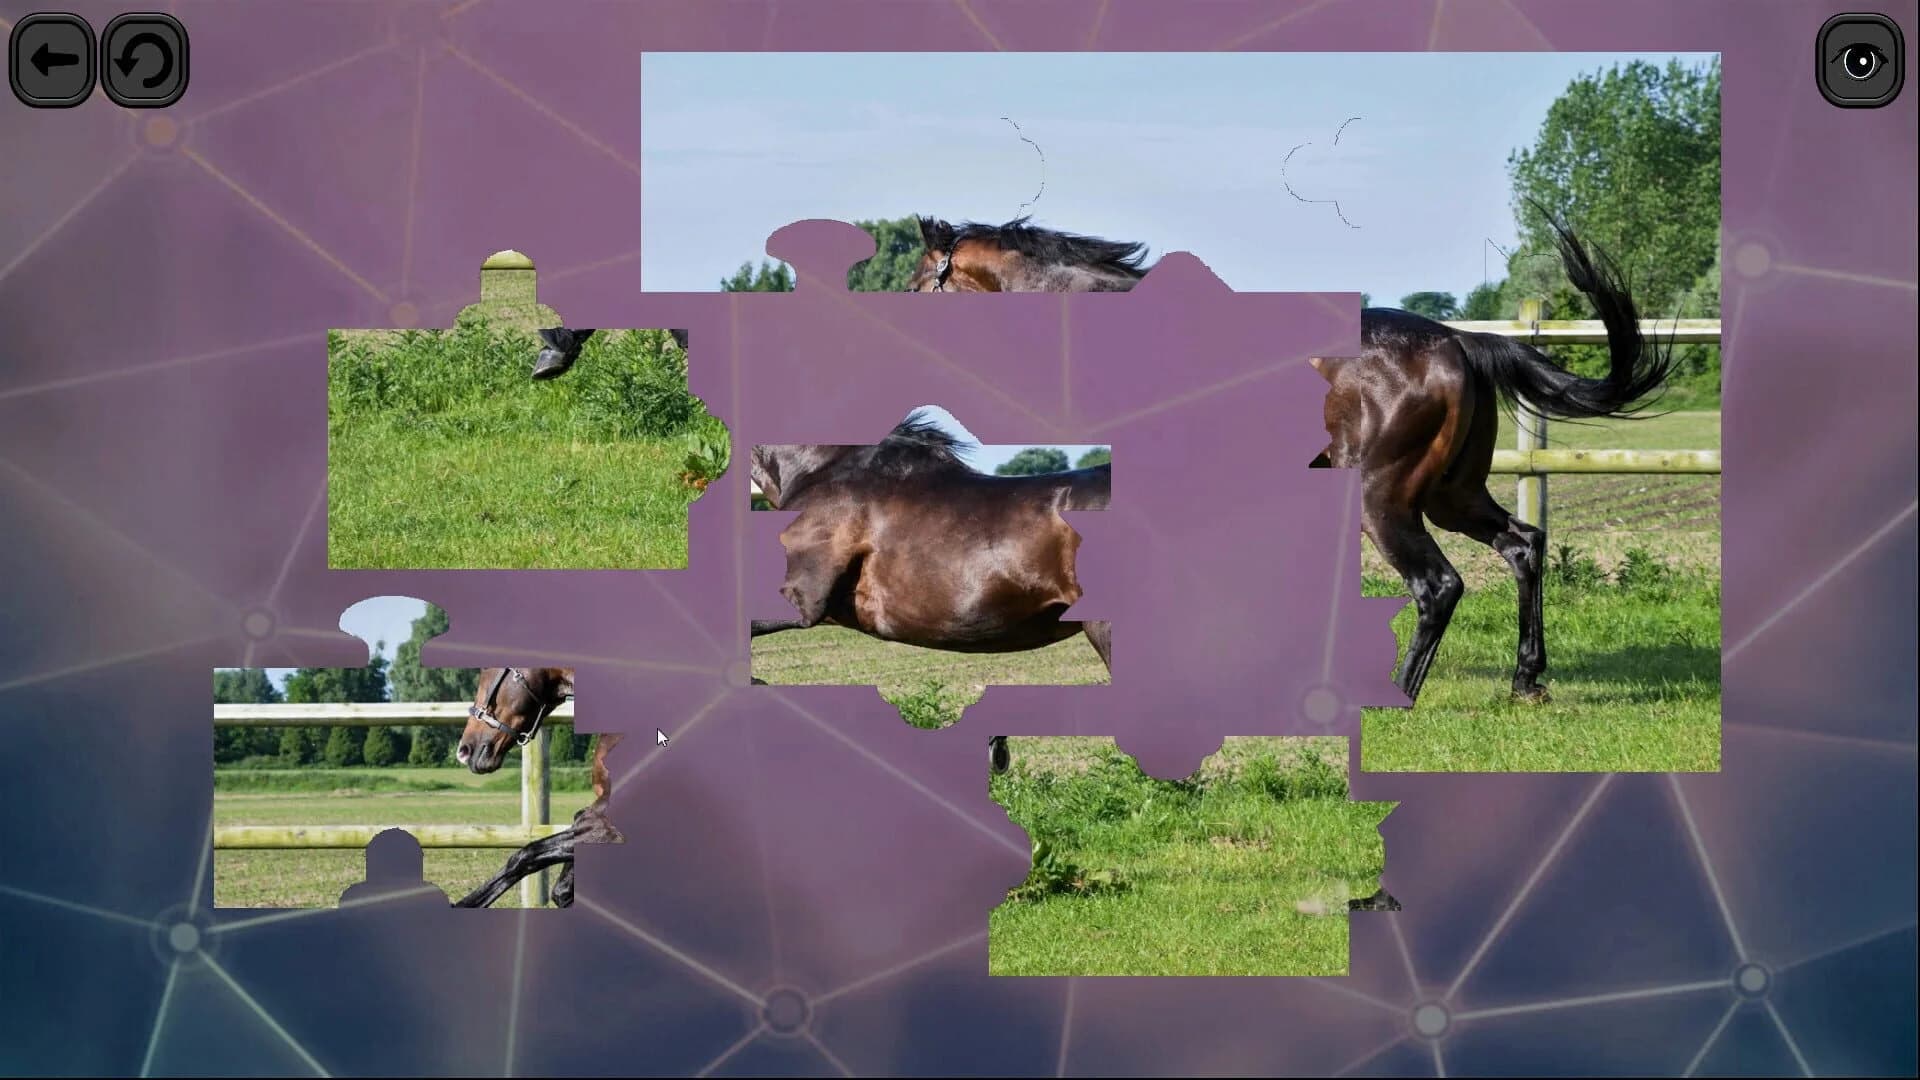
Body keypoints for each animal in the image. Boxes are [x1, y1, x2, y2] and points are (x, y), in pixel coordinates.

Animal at [904, 206, 1677, 706]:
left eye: (919, 281)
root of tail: (1460, 341)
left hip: (1385, 499)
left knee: (1438, 585)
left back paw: (1395, 695)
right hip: (1451, 494)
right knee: (1522, 545)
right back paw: (1526, 680)